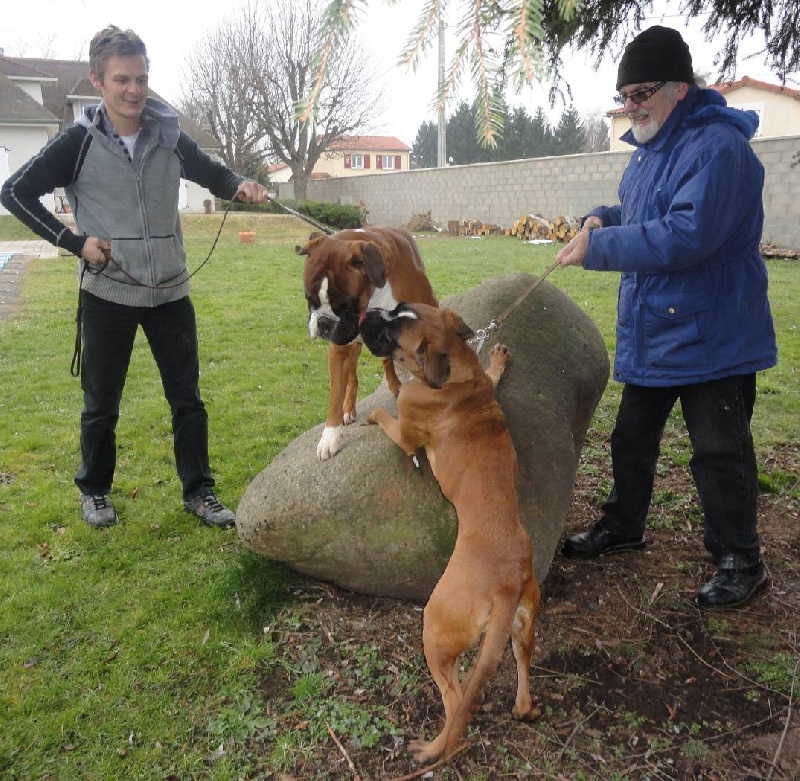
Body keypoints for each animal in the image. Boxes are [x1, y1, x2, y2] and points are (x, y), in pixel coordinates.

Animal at [296, 225, 438, 460]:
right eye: (309, 300)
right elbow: (336, 393)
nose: (324, 323)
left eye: (346, 305)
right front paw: (330, 436)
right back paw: (349, 409)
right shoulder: (339, 349)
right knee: (352, 377)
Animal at [362, 302, 544, 764]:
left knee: (457, 700)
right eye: (394, 311)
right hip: (522, 631)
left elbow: (389, 415)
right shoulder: (483, 383)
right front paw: (497, 359)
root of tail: (507, 580)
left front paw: (371, 413)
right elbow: (494, 376)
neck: (456, 378)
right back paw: (524, 709)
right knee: (515, 684)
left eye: (392, 330)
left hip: (435, 629)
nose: (368, 314)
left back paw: (431, 749)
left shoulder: (405, 431)